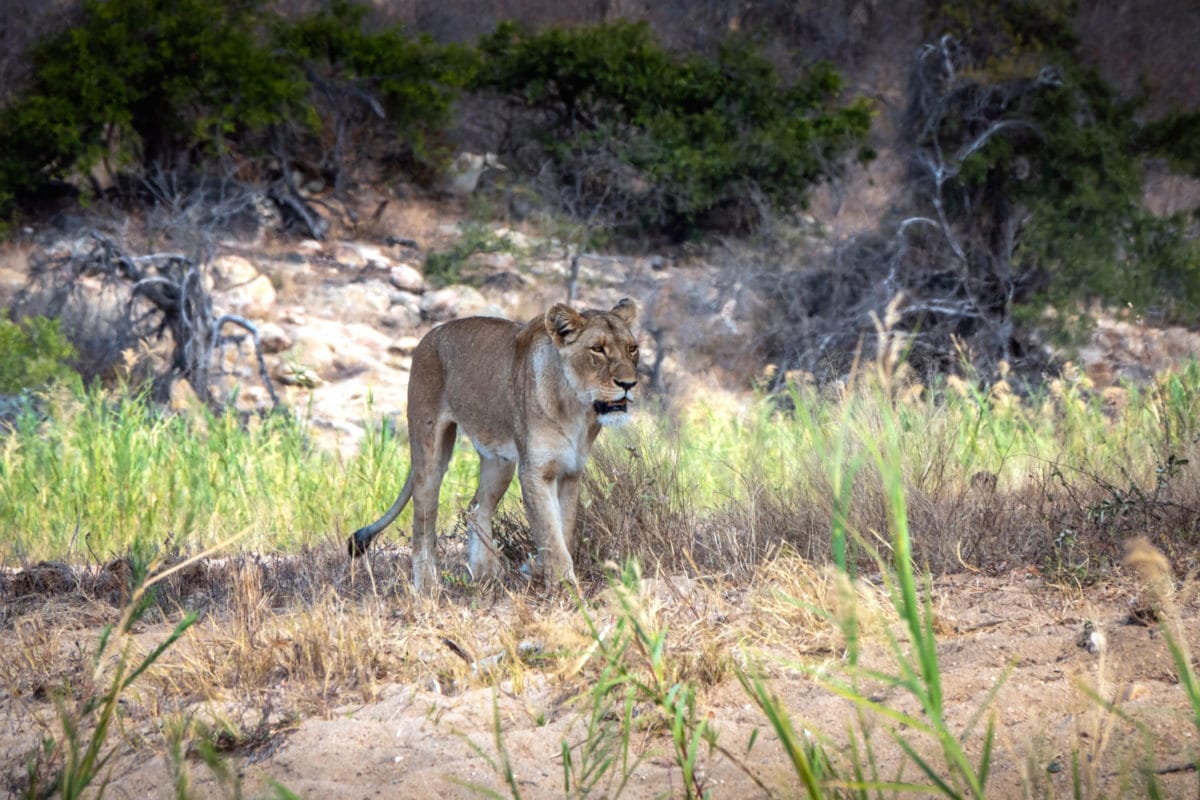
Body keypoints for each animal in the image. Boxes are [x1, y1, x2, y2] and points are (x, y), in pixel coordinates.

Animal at [348, 298, 639, 594]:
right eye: (598, 349)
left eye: (632, 348)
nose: (629, 384)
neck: (577, 408)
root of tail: (430, 335)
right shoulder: (535, 471)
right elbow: (550, 533)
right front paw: (565, 587)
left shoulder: (571, 471)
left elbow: (564, 530)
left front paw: (537, 569)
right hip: (429, 451)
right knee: (423, 523)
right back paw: (428, 586)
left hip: (500, 460)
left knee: (477, 508)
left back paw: (486, 573)